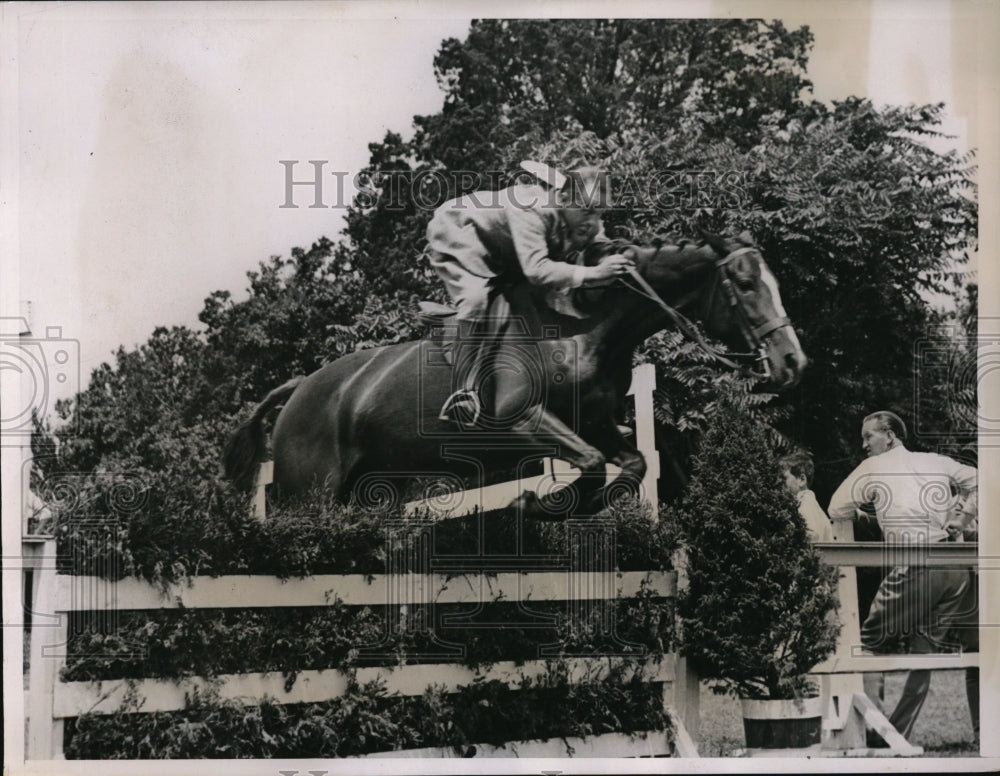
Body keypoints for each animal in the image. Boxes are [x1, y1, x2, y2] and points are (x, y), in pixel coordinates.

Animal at [225, 232, 804, 520]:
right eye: (746, 285)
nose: (792, 362)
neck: (582, 326)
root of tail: (298, 389)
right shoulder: (518, 420)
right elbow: (590, 465)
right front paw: (539, 503)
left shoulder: (593, 424)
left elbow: (631, 464)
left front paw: (570, 506)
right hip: (309, 494)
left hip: (368, 490)